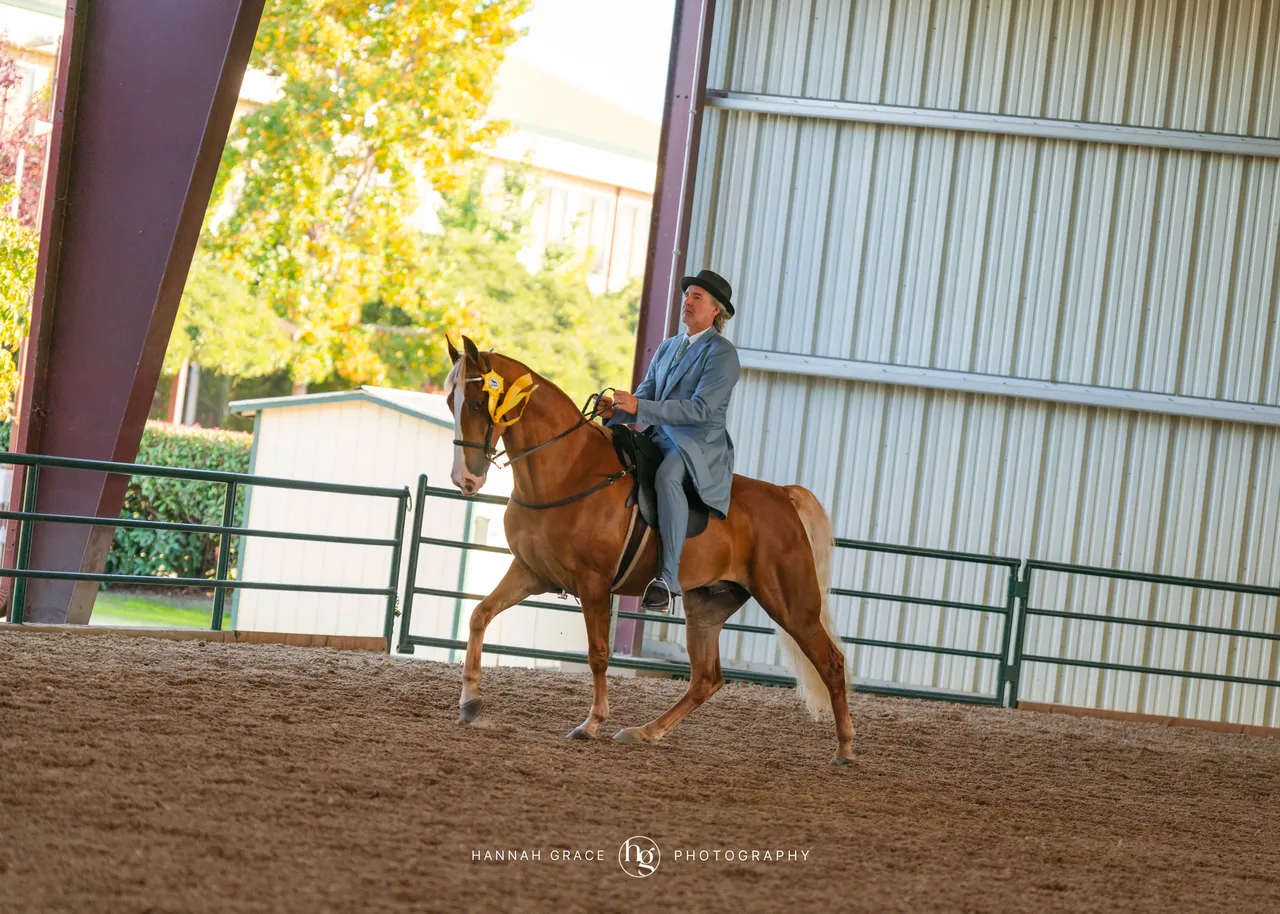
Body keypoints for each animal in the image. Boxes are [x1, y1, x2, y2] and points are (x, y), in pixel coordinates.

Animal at [443, 336, 856, 765]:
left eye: (478, 402)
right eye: (451, 402)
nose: (465, 479)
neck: (566, 470)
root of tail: (782, 495)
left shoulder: (593, 584)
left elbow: (598, 653)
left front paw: (591, 723)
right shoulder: (530, 572)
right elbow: (479, 615)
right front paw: (470, 702)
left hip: (792, 606)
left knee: (831, 663)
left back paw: (845, 749)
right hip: (707, 606)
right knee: (705, 679)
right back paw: (644, 732)